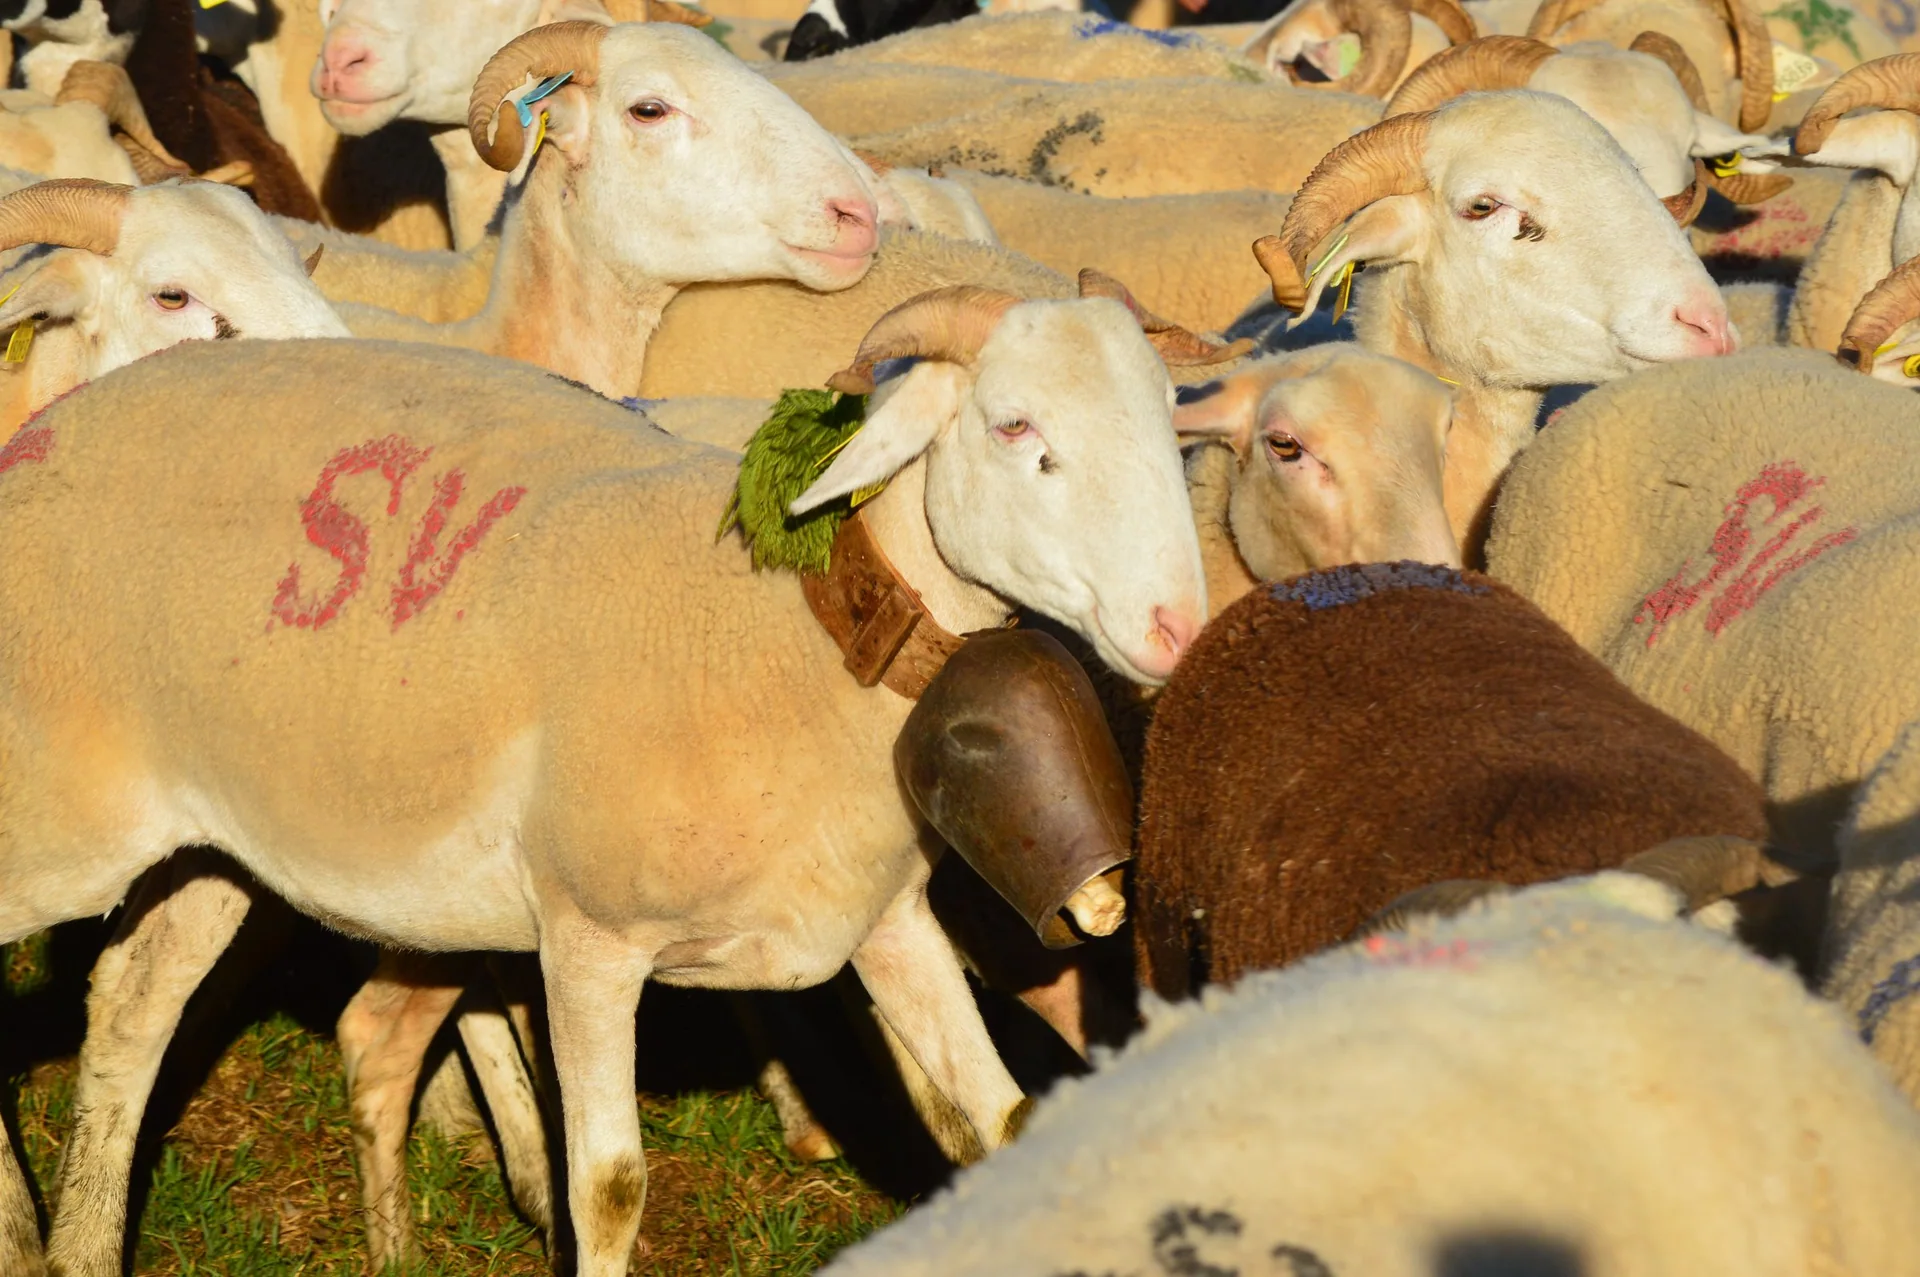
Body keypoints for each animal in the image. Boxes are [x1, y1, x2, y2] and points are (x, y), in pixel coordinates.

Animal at [0, 279, 1208, 1275]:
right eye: (1015, 426)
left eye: (1166, 421)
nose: (1178, 628)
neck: (783, 631)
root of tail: (48, 425)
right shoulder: (589, 940)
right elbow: (609, 1189)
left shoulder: (888, 923)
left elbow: (999, 1121)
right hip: (51, 811)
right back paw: (22, 1238)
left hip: (215, 840)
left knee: (132, 1010)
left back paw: (86, 1248)